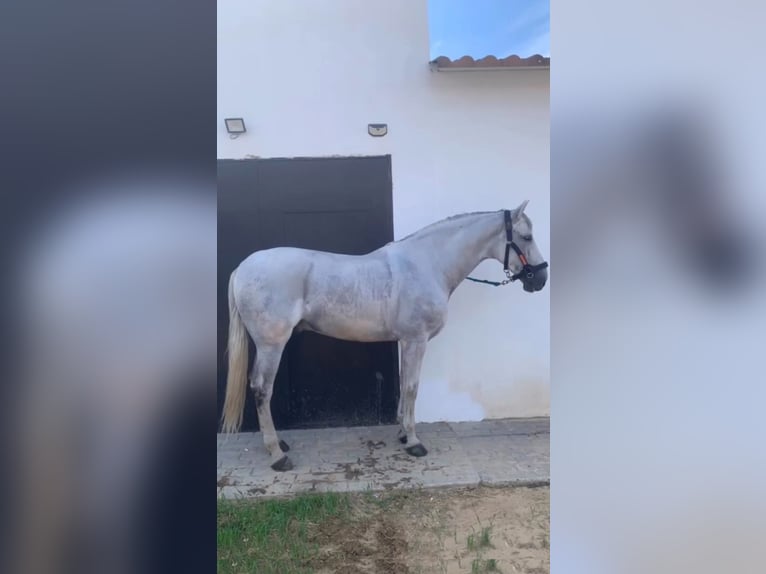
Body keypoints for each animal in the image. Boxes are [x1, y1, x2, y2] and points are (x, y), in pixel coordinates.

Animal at [219, 202, 548, 472]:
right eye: (526, 237)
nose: (541, 279)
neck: (428, 264)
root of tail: (243, 268)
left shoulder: (405, 341)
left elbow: (404, 386)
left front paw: (403, 433)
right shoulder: (416, 340)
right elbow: (413, 388)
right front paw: (414, 442)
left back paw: (278, 445)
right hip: (271, 344)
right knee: (261, 389)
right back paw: (278, 455)